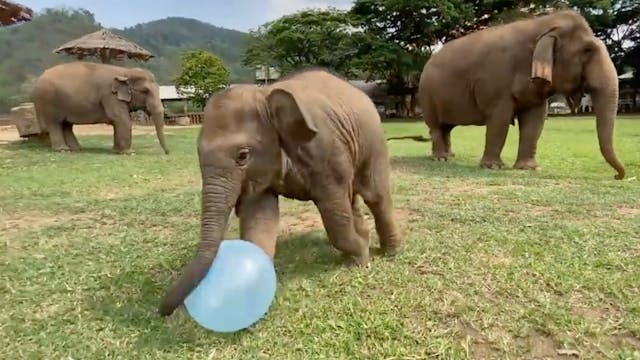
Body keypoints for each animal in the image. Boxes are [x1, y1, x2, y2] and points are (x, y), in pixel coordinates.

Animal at [31, 62, 169, 155]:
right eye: (145, 91)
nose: (167, 152)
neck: (124, 72)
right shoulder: (109, 95)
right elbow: (120, 119)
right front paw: (128, 153)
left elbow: (118, 121)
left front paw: (116, 151)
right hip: (48, 102)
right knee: (55, 124)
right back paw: (63, 150)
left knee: (66, 125)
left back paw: (76, 149)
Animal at [158, 69, 402, 316]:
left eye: (243, 156)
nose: (162, 312)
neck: (265, 94)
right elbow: (259, 217)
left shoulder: (325, 150)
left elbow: (334, 212)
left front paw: (362, 260)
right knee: (352, 199)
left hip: (373, 143)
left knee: (375, 196)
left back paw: (390, 252)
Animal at [420, 10, 624, 180]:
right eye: (587, 51)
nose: (617, 176)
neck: (543, 24)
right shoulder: (496, 80)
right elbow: (499, 119)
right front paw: (492, 167)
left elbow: (535, 120)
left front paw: (529, 168)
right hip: (427, 95)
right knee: (436, 126)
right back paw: (440, 159)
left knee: (447, 127)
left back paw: (449, 156)